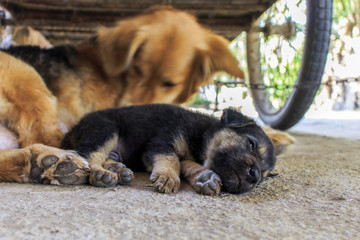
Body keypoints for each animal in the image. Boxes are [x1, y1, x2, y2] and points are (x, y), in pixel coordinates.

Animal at [62, 105, 292, 195]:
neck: (201, 136)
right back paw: (101, 174)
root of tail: (75, 128)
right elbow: (171, 159)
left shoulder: (187, 156)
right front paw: (167, 177)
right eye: (251, 143)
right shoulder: (162, 143)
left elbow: (189, 165)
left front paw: (205, 177)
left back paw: (117, 169)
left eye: (264, 177)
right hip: (106, 129)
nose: (254, 176)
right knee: (89, 154)